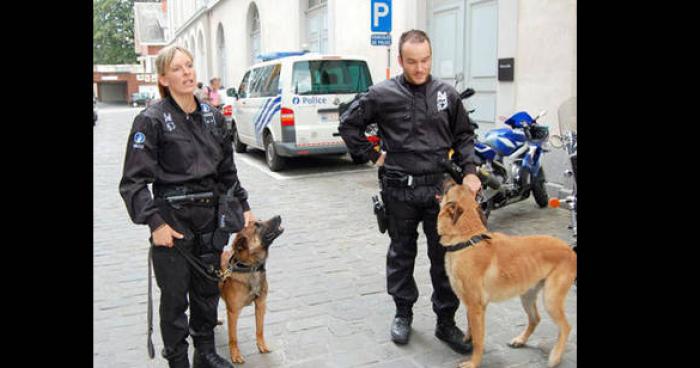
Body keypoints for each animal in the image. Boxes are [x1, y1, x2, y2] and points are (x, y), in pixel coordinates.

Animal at [220, 217, 284, 364]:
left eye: (259, 221)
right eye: (257, 225)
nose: (278, 216)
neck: (251, 267)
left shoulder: (261, 304)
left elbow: (260, 330)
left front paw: (262, 346)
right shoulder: (233, 312)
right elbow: (233, 337)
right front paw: (235, 355)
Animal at [438, 180, 576, 366]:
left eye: (449, 190)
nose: (448, 179)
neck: (467, 239)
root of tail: (569, 250)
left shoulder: (476, 307)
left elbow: (479, 340)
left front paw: (474, 362)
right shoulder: (471, 306)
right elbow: (470, 328)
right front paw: (466, 340)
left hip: (551, 299)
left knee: (566, 326)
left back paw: (555, 356)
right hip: (527, 296)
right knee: (535, 319)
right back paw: (520, 340)